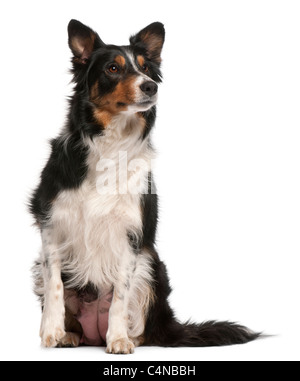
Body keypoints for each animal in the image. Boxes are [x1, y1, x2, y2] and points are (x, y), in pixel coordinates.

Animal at [29, 20, 260, 354]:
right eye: (113, 68)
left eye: (146, 68)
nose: (151, 86)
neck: (110, 142)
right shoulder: (51, 223)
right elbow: (55, 286)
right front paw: (51, 332)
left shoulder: (131, 235)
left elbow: (120, 296)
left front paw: (118, 339)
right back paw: (69, 335)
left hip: (152, 266)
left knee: (146, 328)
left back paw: (127, 336)